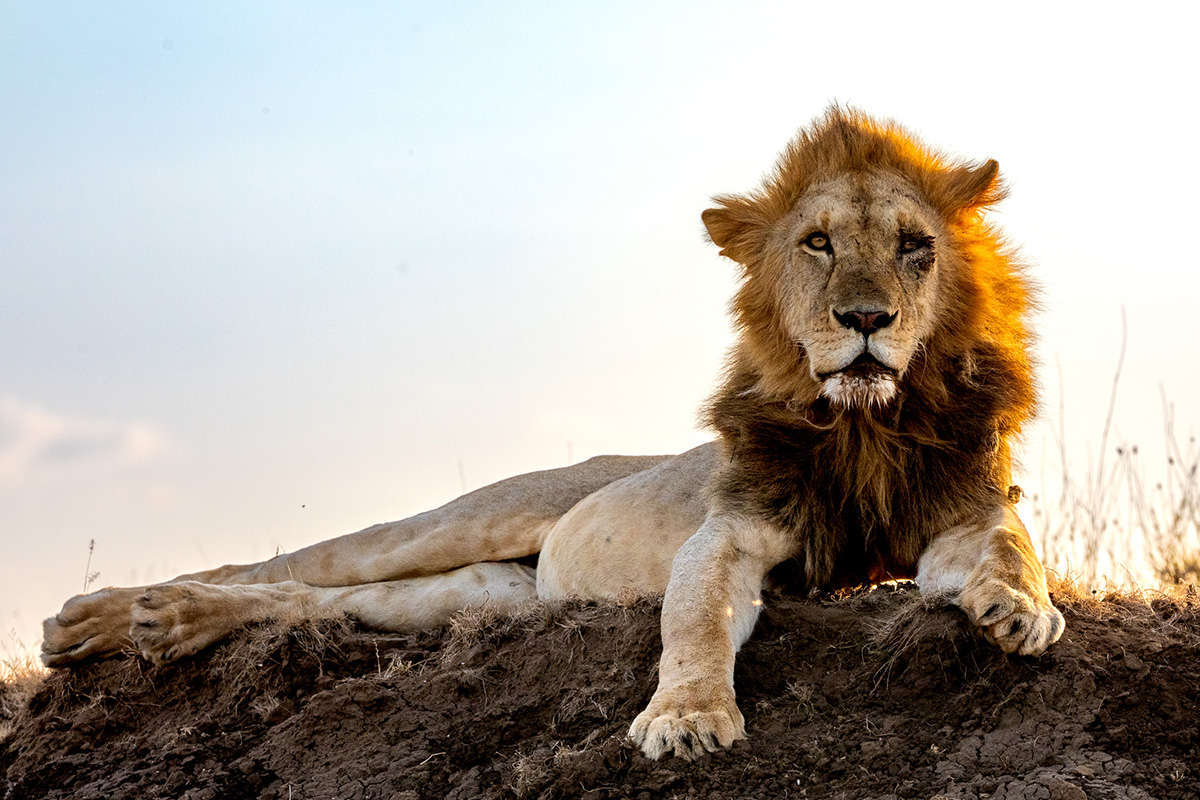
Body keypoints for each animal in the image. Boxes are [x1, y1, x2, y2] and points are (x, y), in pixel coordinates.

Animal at [41, 107, 1064, 761]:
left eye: (913, 247)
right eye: (816, 243)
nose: (865, 318)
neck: (862, 427)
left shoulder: (961, 513)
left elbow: (1011, 548)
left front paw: (1018, 610)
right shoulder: (728, 531)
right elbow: (694, 621)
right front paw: (685, 718)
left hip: (479, 598)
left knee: (312, 601)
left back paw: (165, 623)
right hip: (465, 518)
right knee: (287, 564)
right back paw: (102, 619)